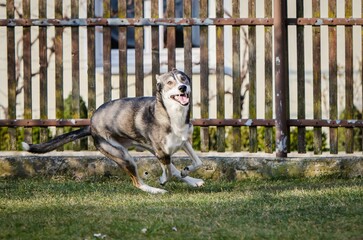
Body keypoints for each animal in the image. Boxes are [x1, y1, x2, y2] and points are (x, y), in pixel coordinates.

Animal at [22, 68, 205, 194]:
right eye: (170, 83)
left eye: (183, 79)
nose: (182, 88)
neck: (171, 114)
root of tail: (91, 125)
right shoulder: (162, 152)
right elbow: (167, 171)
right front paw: (163, 180)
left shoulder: (183, 142)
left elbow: (197, 162)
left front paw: (186, 171)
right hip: (123, 156)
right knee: (137, 182)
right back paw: (156, 190)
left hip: (147, 149)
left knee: (172, 168)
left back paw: (193, 181)